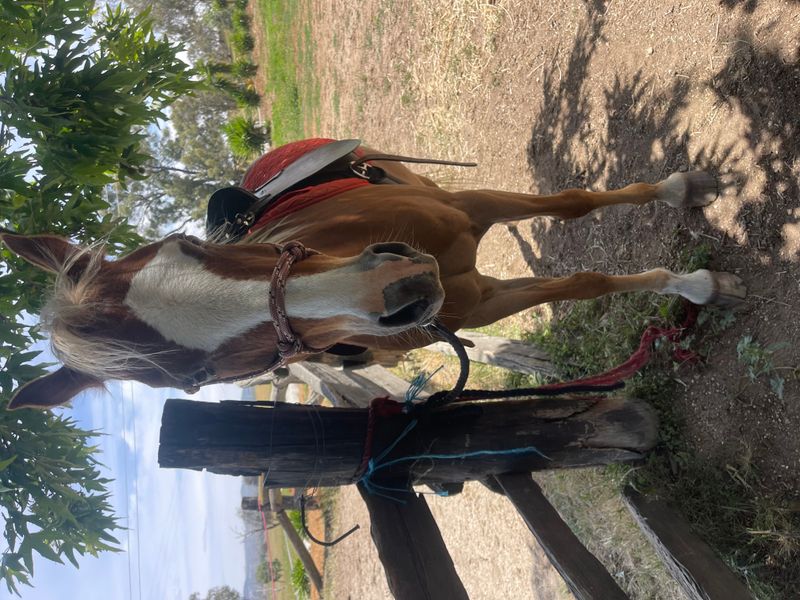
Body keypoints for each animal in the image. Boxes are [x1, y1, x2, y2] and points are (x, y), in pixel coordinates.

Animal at [2, 138, 746, 409]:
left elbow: (574, 205)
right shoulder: (476, 303)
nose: (396, 290)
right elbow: (580, 284)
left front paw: (686, 201)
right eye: (196, 380)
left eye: (182, 246)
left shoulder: (470, 209)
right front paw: (697, 286)